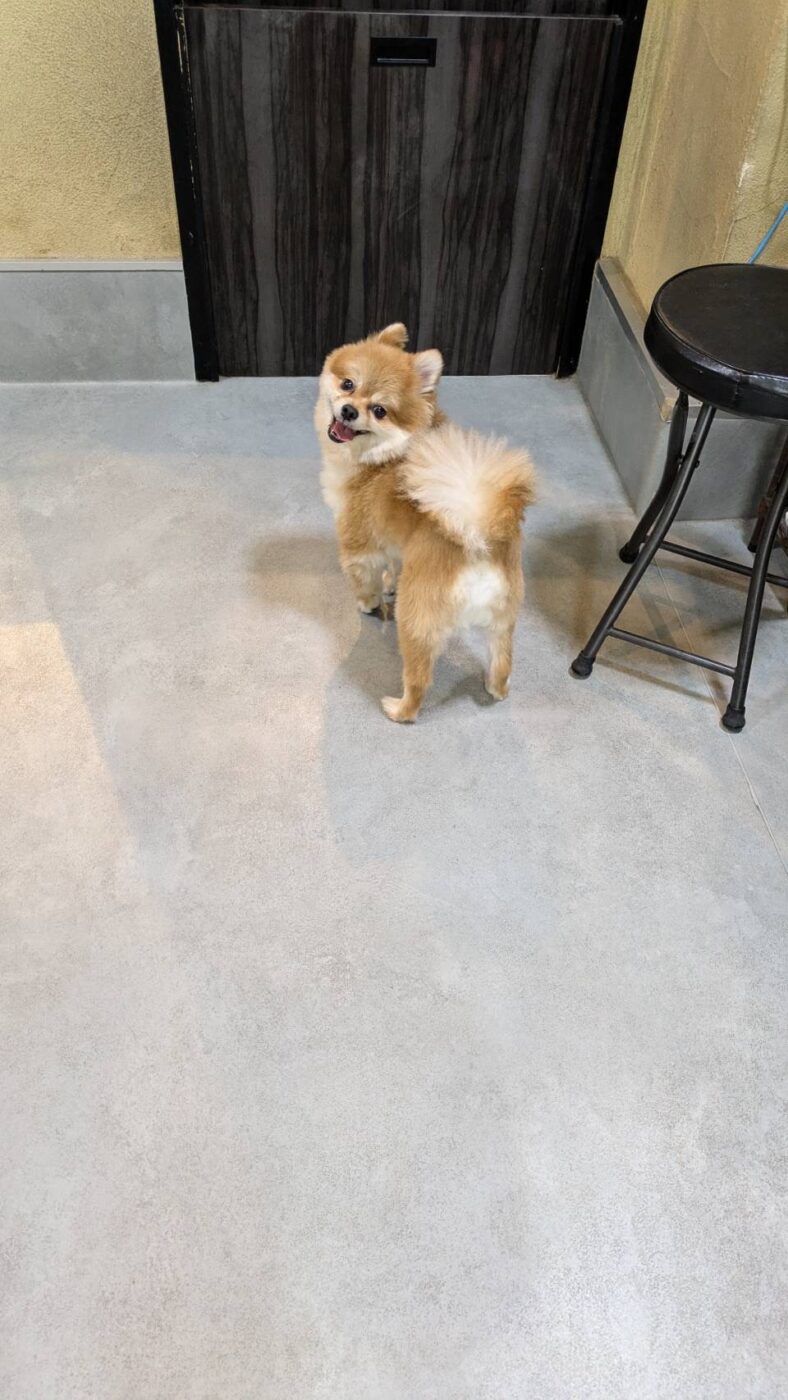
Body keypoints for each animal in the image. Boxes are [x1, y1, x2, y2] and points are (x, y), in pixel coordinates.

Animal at [315, 323, 536, 722]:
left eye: (380, 410)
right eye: (348, 384)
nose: (349, 411)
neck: (382, 456)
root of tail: (478, 540)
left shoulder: (358, 543)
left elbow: (364, 579)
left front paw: (369, 604)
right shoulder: (395, 545)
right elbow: (393, 567)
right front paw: (390, 584)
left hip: (416, 620)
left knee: (418, 680)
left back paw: (399, 709)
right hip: (502, 620)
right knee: (502, 664)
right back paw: (494, 687)